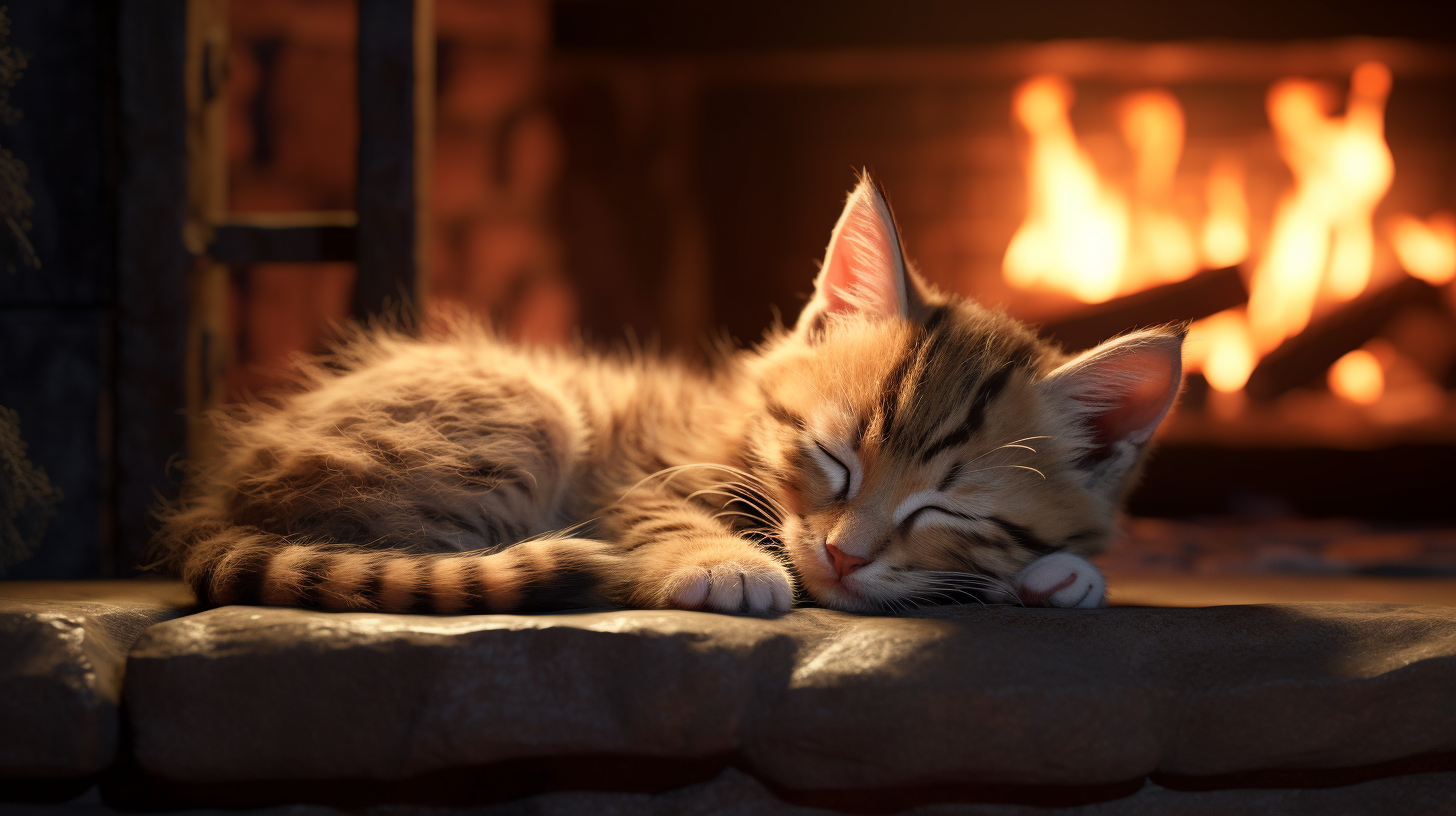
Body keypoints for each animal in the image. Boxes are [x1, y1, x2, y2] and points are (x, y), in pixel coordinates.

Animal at [159, 175, 1182, 614]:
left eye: (946, 508)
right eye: (833, 458)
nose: (842, 557)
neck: (733, 422)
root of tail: (220, 504)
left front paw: (1058, 574)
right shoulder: (634, 474)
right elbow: (657, 512)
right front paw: (723, 560)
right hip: (524, 413)